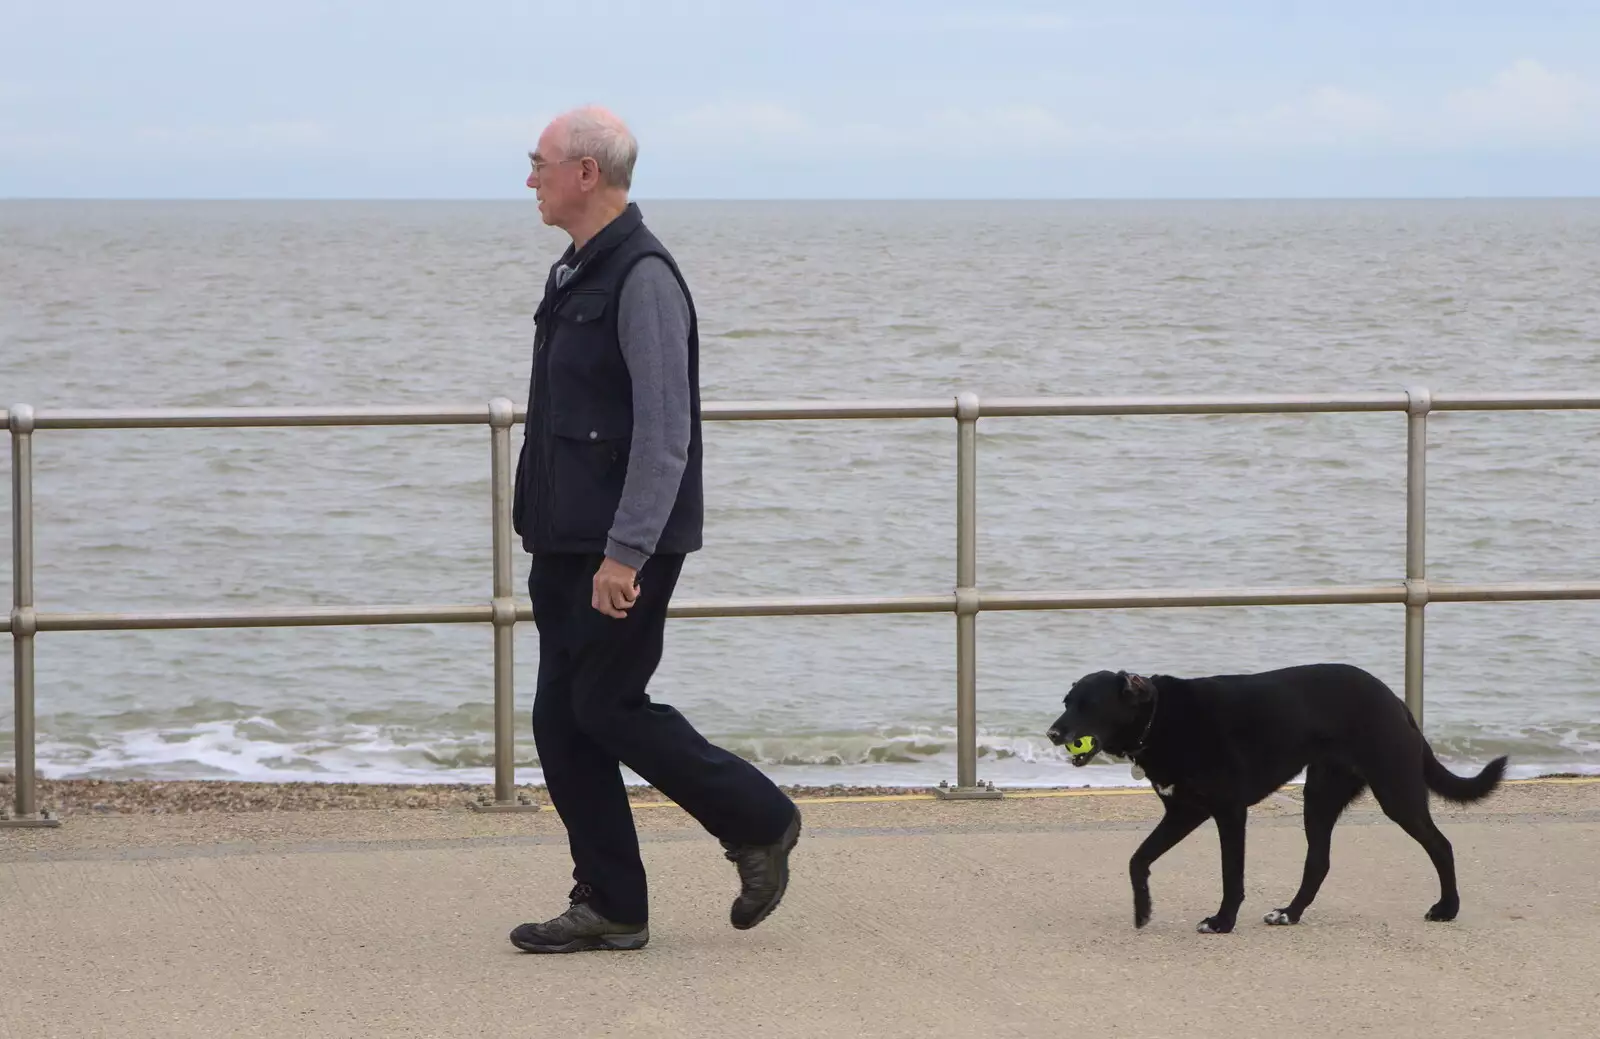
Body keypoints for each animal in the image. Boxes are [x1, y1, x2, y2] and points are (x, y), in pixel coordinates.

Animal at [1043, 665, 1504, 934]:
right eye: (1067, 702)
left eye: (1089, 705)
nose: (1052, 733)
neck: (1159, 717)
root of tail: (1396, 702)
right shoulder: (1184, 812)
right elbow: (1138, 858)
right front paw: (1143, 909)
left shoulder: (1228, 812)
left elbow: (1232, 875)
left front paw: (1223, 922)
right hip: (1319, 797)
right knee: (1318, 862)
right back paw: (1290, 913)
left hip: (1395, 793)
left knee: (1440, 845)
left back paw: (1448, 908)